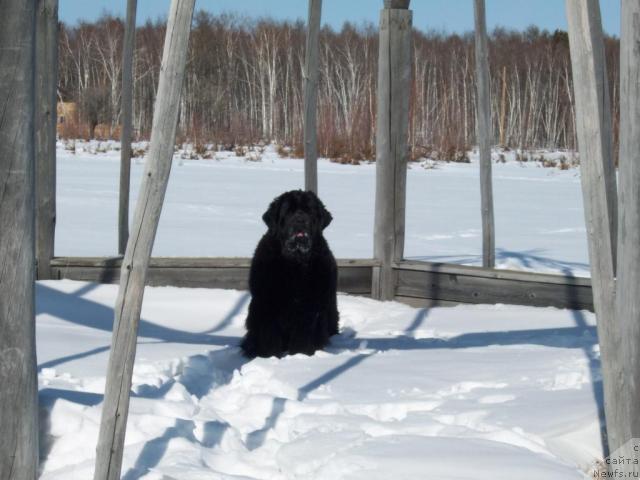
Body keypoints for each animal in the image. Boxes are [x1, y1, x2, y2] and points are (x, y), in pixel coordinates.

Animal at [240, 189, 340, 358]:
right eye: (288, 211)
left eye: (310, 211)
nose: (300, 220)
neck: (295, 264)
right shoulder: (267, 304)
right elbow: (269, 336)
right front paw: (269, 357)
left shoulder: (308, 309)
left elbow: (302, 336)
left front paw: (300, 355)